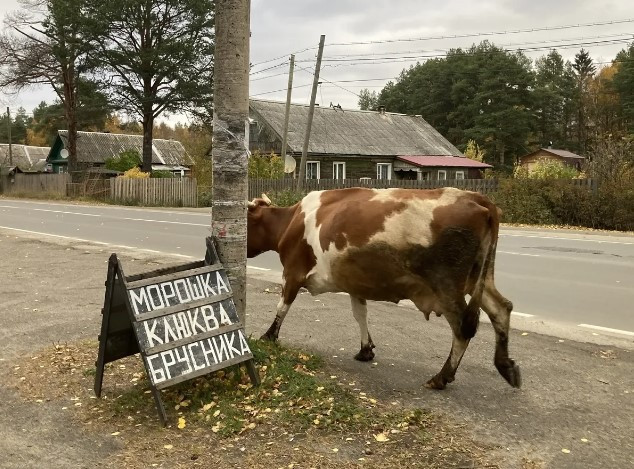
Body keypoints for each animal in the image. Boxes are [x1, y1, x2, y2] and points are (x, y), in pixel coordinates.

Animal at [246, 186, 520, 388]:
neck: (291, 221)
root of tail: (477, 198)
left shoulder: (293, 272)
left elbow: (282, 306)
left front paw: (269, 336)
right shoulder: (354, 282)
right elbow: (360, 314)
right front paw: (366, 349)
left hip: (448, 286)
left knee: (463, 328)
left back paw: (441, 377)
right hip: (479, 278)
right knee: (501, 308)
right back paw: (506, 366)